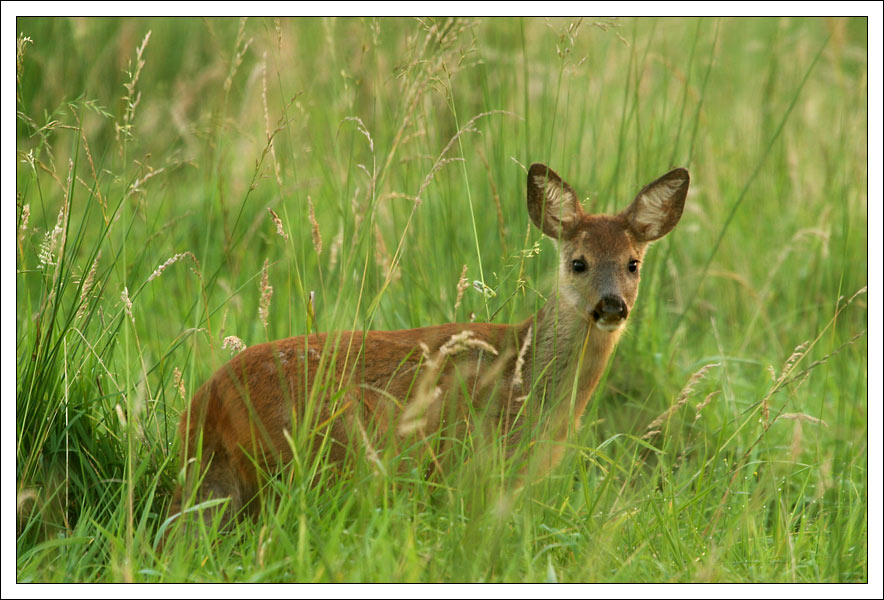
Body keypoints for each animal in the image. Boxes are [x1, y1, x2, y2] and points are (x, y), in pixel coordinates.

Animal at [166, 162, 692, 536]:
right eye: (578, 262)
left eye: (633, 263)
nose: (612, 305)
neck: (529, 382)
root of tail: (205, 404)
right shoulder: (469, 458)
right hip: (310, 450)